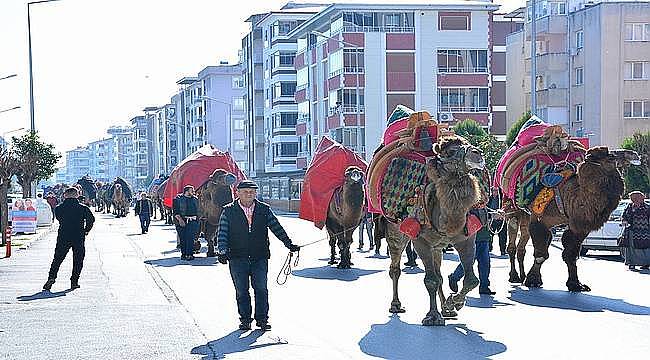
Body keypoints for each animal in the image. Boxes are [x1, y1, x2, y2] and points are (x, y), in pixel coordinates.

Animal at [368, 107, 484, 326]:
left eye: (464, 142)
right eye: (451, 152)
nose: (478, 153)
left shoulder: (465, 237)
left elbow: (472, 279)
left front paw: (454, 303)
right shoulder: (421, 240)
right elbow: (429, 280)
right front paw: (432, 316)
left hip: (438, 246)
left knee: (439, 273)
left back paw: (447, 309)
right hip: (395, 231)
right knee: (395, 267)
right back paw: (396, 305)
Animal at [520, 148, 636, 292]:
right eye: (610, 156)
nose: (633, 154)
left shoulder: (579, 227)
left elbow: (570, 254)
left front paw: (575, 284)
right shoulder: (538, 218)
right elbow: (541, 254)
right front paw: (532, 281)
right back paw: (516, 277)